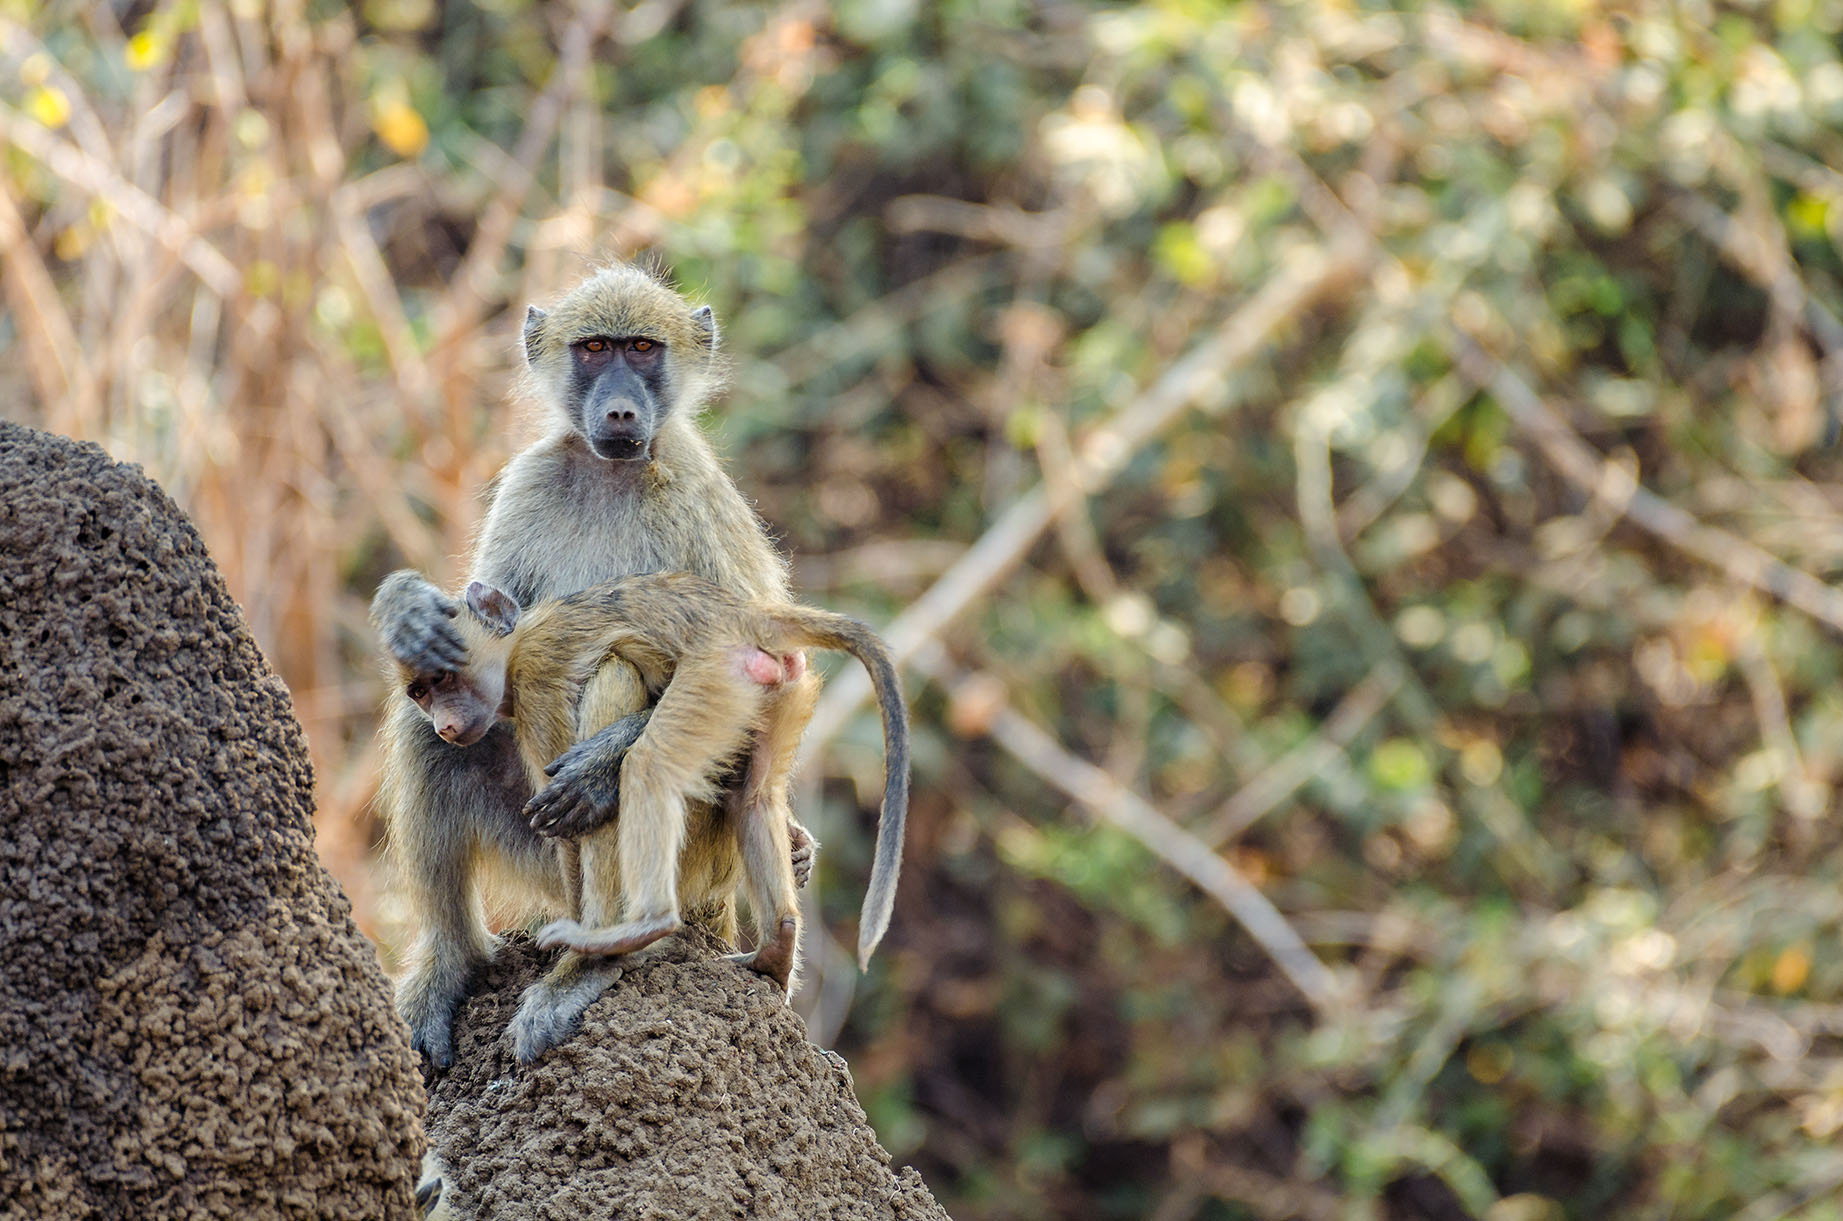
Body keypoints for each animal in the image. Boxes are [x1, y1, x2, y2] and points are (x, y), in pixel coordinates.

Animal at [371, 262, 823, 1069]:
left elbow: (763, 670)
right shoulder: (533, 478)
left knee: (614, 691)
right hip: (537, 855)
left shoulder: (698, 493)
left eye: (641, 348)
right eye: (593, 349)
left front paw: (597, 767)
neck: (613, 473)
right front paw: (406, 607)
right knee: (430, 734)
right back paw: (455, 965)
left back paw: (591, 963)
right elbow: (485, 612)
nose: (617, 412)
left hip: (692, 855)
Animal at [389, 571, 908, 1060]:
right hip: (779, 692)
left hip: (715, 677)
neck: (521, 640)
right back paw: (776, 948)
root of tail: (747, 615)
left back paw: (632, 934)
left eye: (444, 678)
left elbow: (568, 836)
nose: (445, 724)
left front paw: (577, 964)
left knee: (642, 748)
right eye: (421, 691)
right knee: (752, 796)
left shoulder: (538, 685)